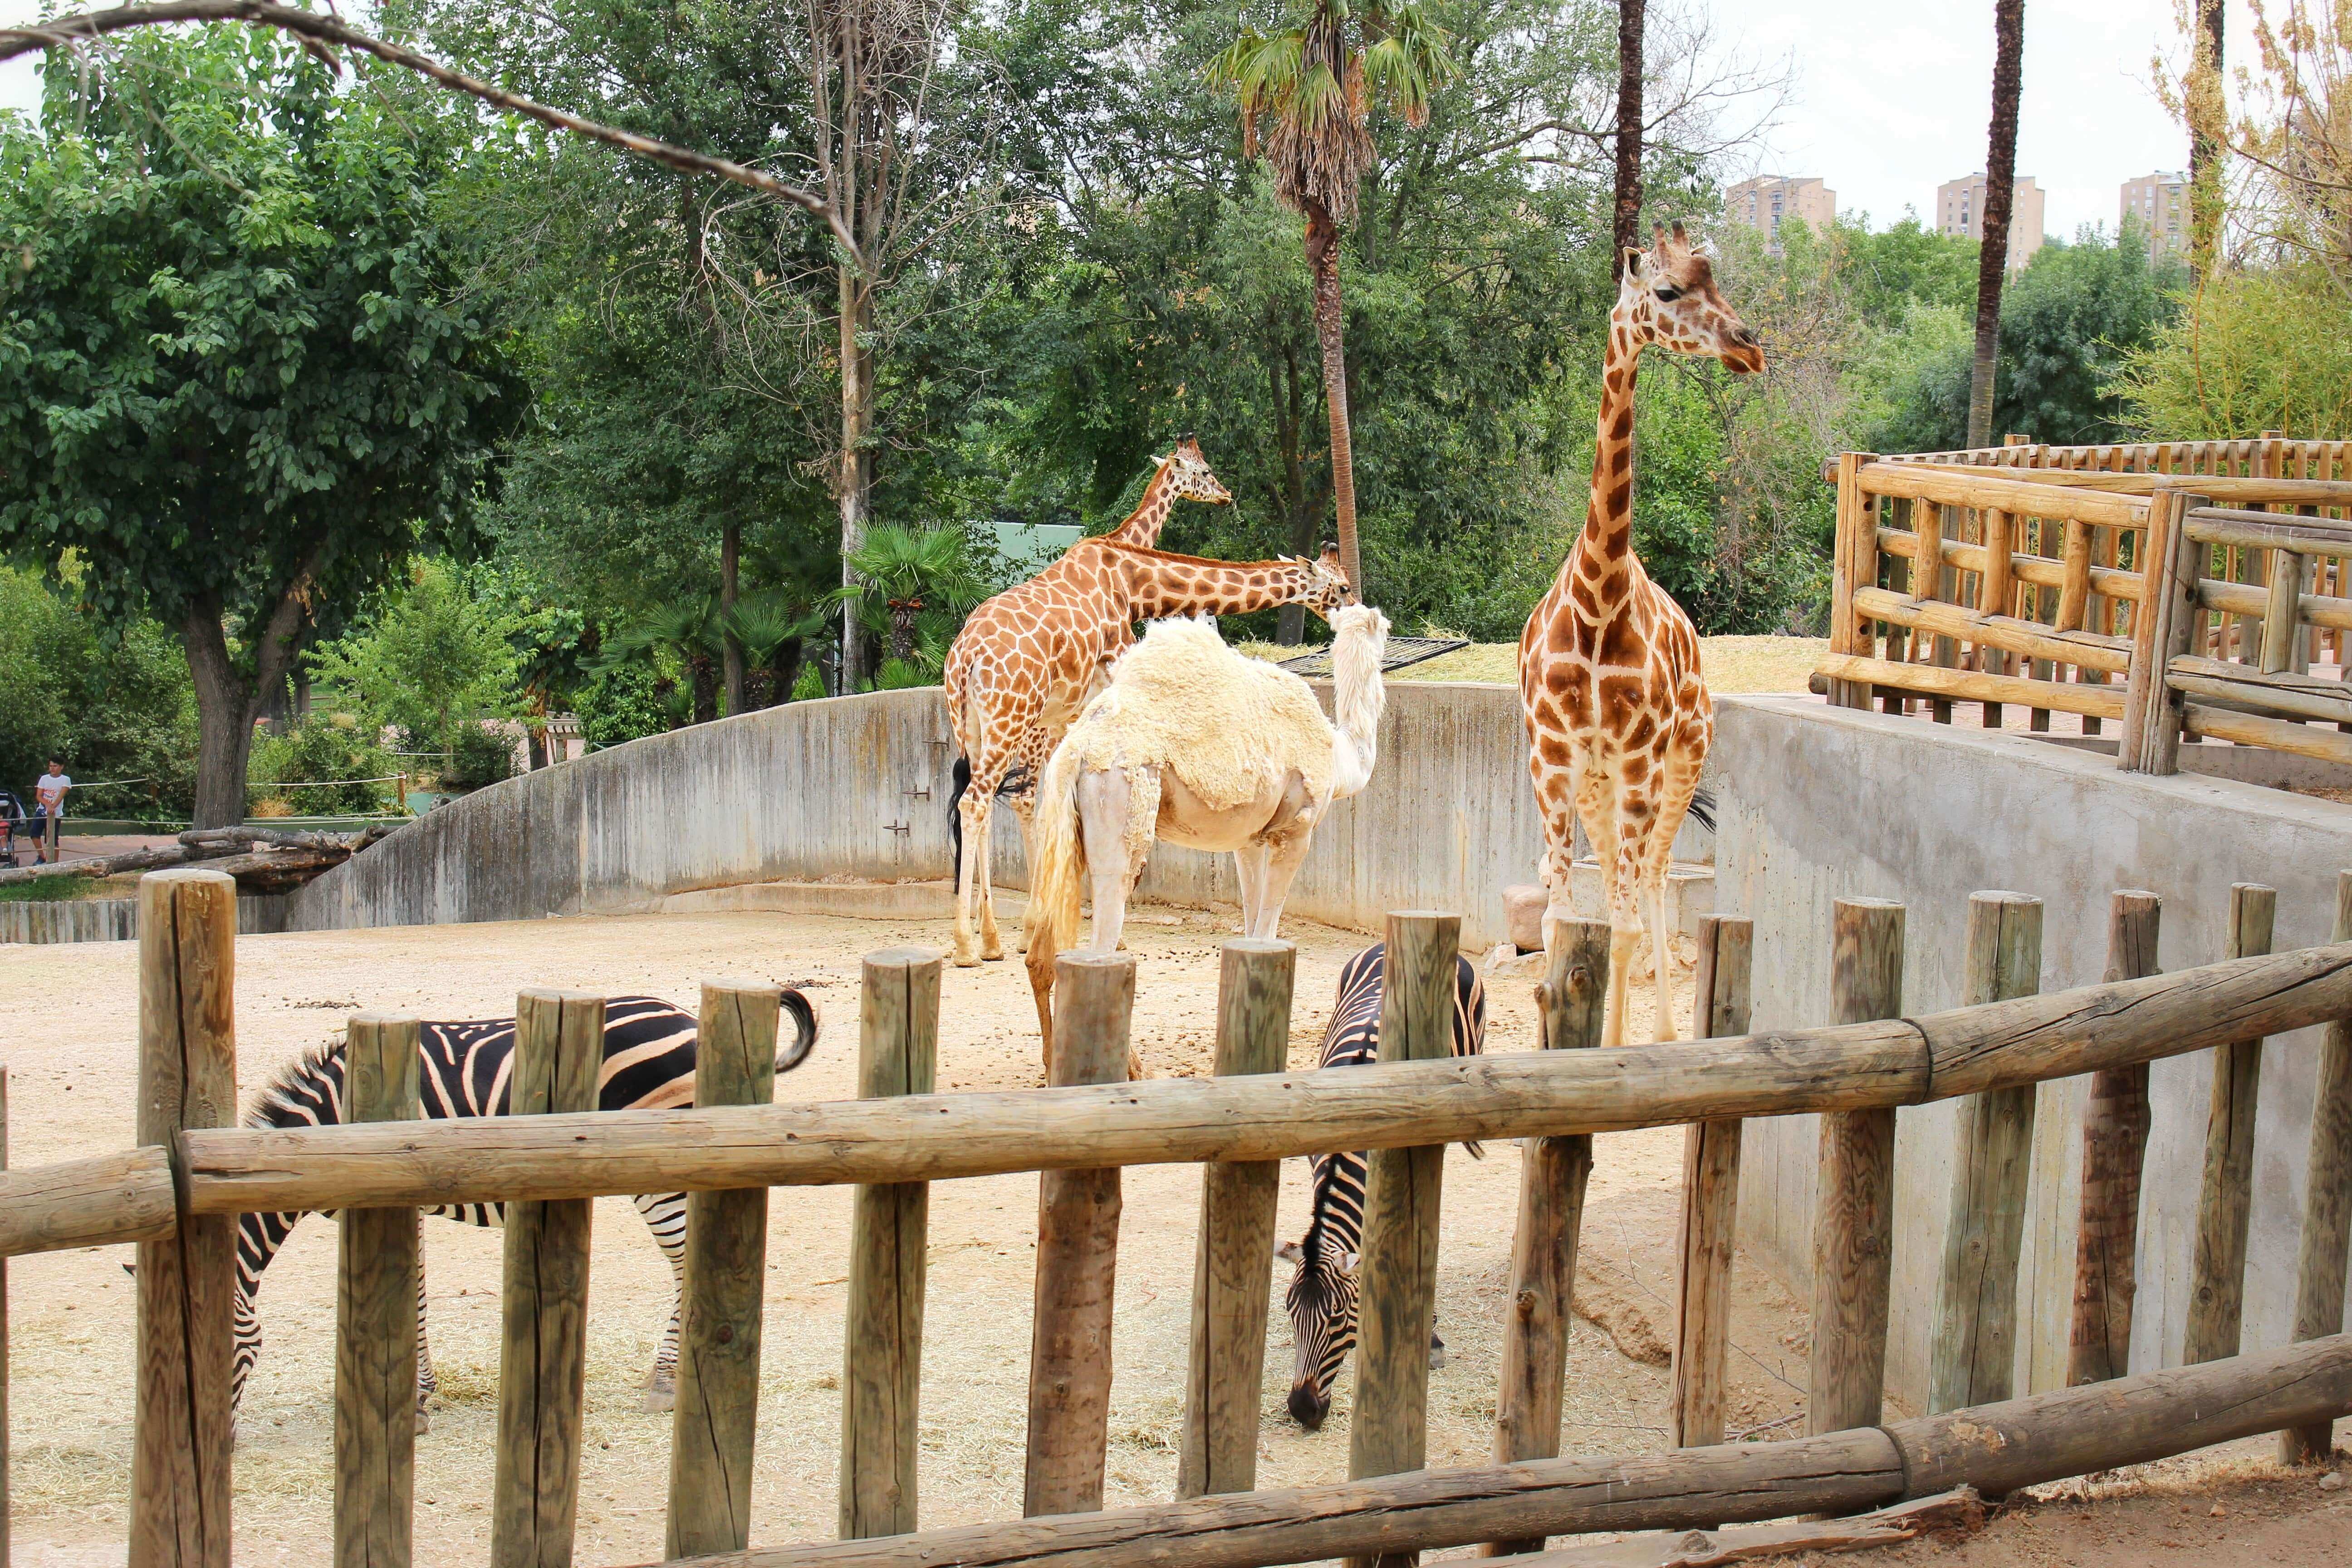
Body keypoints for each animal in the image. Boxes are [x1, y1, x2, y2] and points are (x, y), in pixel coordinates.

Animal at [229, 992, 818, 1420]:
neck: (326, 1121)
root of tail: (691, 1020)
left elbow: (412, 1293)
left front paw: (416, 1397)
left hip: (665, 1173)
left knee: (683, 1265)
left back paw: (665, 1383)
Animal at [1020, 606, 1383, 1067]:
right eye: (1383, 628)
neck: (1341, 758)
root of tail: (1076, 751)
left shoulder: (1249, 841)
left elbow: (1251, 926)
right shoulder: (1296, 830)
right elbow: (1266, 931)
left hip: (1057, 829)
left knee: (1041, 952)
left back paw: (1057, 1061)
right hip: (1120, 805)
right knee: (1103, 934)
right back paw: (1126, 1068)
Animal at [1524, 221, 1769, 1048]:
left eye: (1716, 282)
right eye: (1666, 291)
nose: (1748, 347)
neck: (1599, 602)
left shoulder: (1636, 762)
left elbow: (1625, 921)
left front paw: (1611, 1049)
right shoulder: (1551, 761)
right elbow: (1560, 916)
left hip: (1678, 762)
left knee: (1654, 878)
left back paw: (1659, 1032)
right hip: (1599, 786)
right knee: (1623, 882)